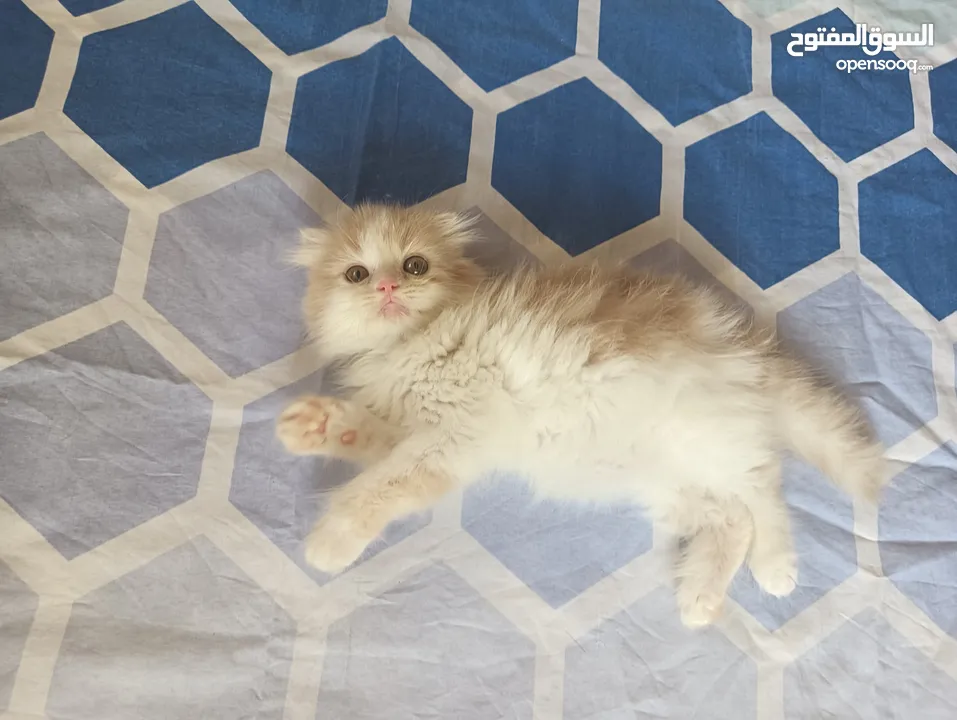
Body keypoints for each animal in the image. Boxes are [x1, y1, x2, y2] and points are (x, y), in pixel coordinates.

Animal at [276, 201, 888, 624]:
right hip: (663, 479)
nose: (386, 286)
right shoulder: (417, 427)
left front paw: (331, 541)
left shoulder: (456, 436)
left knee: (763, 484)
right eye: (356, 274)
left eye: (415, 265)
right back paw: (699, 598)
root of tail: (741, 351)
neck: (412, 345)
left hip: (701, 436)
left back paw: (775, 566)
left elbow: (378, 488)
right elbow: (369, 442)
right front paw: (319, 425)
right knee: (731, 515)